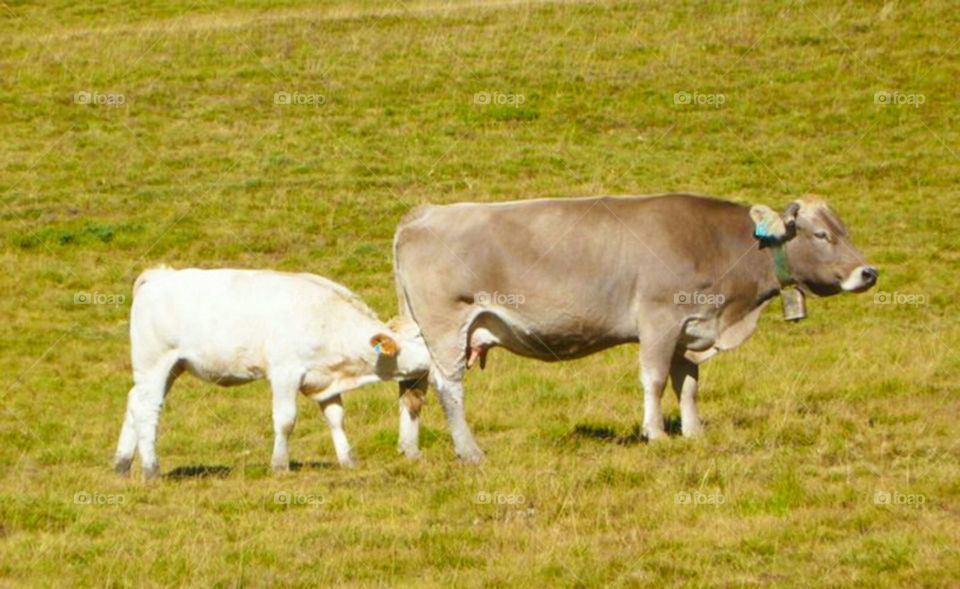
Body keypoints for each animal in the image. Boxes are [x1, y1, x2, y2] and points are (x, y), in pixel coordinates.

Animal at [113, 267, 431, 479]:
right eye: (421, 339)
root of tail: (159, 274)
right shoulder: (284, 372)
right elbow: (286, 421)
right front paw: (280, 465)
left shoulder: (325, 380)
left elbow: (336, 419)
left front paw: (348, 459)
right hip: (154, 362)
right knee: (147, 409)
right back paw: (151, 470)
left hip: (170, 368)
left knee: (133, 402)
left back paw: (122, 464)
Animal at [392, 193, 878, 462]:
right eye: (821, 235)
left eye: (844, 229)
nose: (868, 273)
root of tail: (426, 214)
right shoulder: (659, 319)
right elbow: (655, 378)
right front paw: (656, 434)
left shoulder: (690, 329)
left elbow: (688, 385)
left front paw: (694, 432)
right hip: (447, 324)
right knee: (448, 384)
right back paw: (470, 451)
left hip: (418, 331)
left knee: (412, 384)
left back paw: (411, 450)